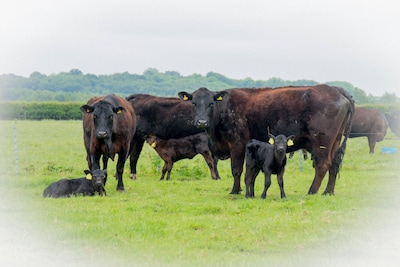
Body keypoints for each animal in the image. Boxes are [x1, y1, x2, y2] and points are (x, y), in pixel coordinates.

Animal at [180, 86, 354, 197]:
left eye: (211, 103)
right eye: (194, 103)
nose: (201, 122)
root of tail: (336, 89)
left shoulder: (237, 145)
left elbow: (236, 170)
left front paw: (235, 190)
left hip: (321, 143)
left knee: (323, 165)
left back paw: (312, 191)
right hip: (335, 142)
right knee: (334, 164)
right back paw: (328, 192)